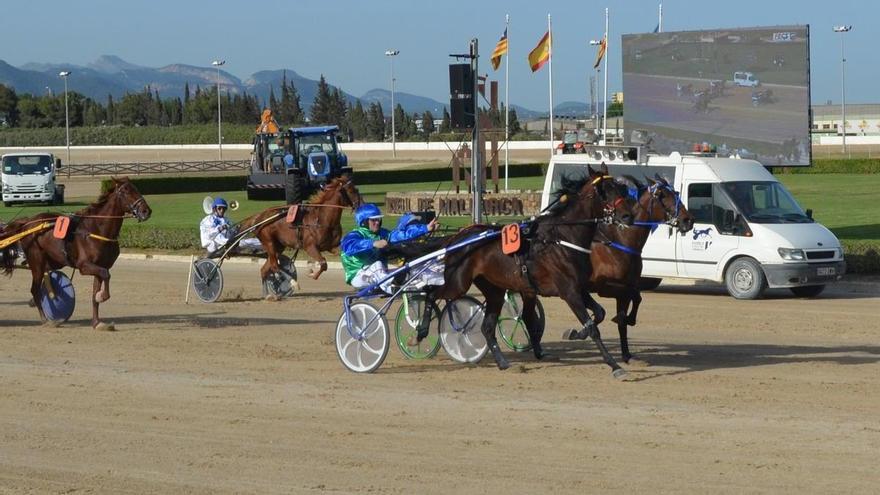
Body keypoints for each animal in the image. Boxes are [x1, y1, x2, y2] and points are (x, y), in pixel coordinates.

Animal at [0, 177, 151, 330]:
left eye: (136, 189)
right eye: (126, 191)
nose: (146, 211)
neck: (97, 229)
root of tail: (27, 223)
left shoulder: (100, 266)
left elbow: (96, 290)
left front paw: (97, 322)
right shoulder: (84, 266)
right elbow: (106, 275)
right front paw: (102, 296)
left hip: (53, 260)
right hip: (36, 261)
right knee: (35, 289)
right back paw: (46, 320)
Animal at [572, 176, 696, 362]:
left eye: (675, 193)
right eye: (662, 195)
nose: (688, 220)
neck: (622, 242)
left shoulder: (626, 286)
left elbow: (633, 304)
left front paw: (626, 353)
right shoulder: (606, 287)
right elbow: (632, 298)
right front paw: (623, 319)